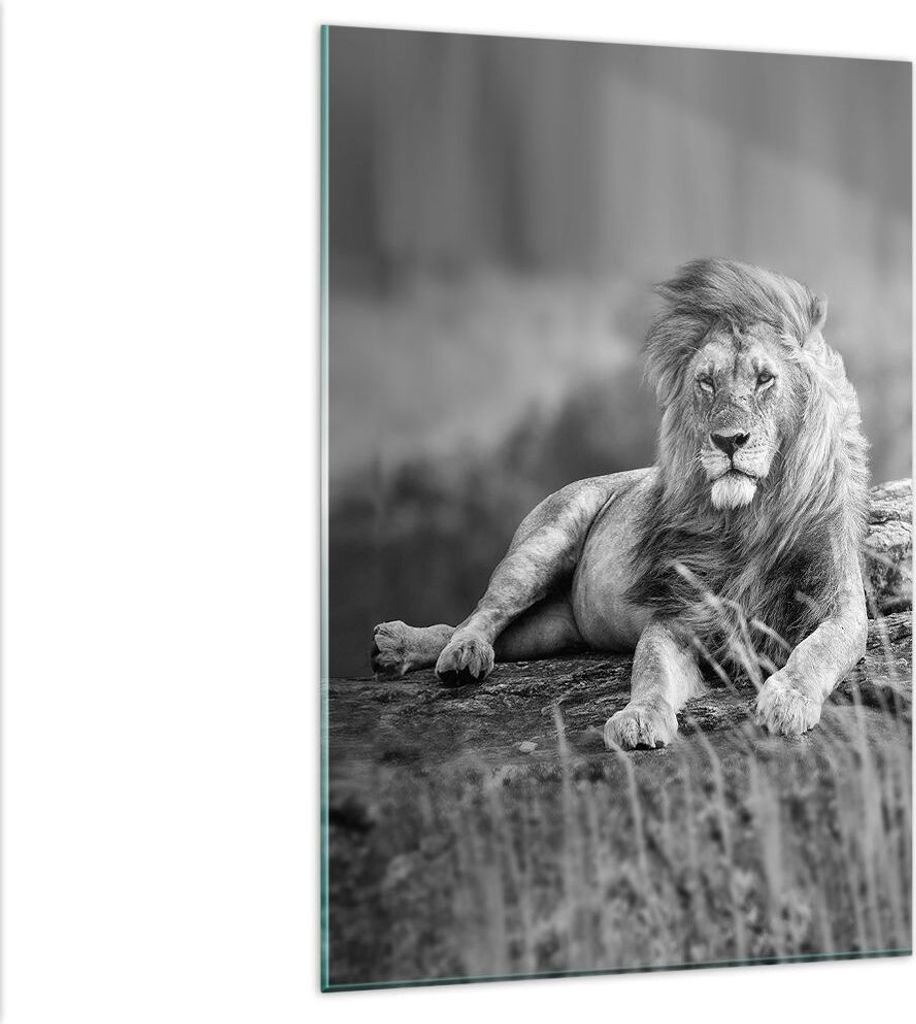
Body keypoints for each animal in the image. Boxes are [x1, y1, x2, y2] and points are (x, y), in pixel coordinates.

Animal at [371, 258, 870, 748]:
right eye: (706, 383)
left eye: (765, 379)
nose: (728, 441)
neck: (749, 518)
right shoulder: (677, 613)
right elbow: (650, 671)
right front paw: (639, 718)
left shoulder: (840, 605)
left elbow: (817, 651)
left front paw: (788, 700)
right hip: (541, 546)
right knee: (480, 614)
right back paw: (448, 651)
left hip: (551, 631)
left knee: (483, 630)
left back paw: (399, 648)